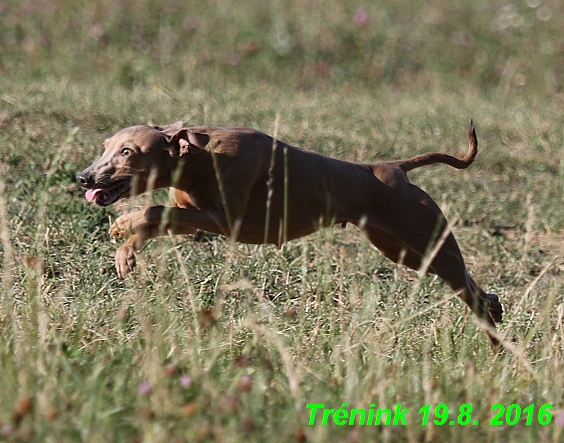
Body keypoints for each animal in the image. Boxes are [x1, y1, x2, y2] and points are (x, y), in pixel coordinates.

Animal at [78, 120, 502, 350]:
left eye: (128, 152)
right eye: (106, 147)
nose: (83, 177)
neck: (199, 154)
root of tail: (393, 168)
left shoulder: (221, 219)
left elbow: (153, 210)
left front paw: (124, 226)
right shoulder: (193, 216)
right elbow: (158, 217)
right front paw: (127, 250)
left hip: (427, 239)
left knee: (466, 285)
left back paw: (494, 335)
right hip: (402, 250)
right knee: (476, 289)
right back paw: (495, 310)